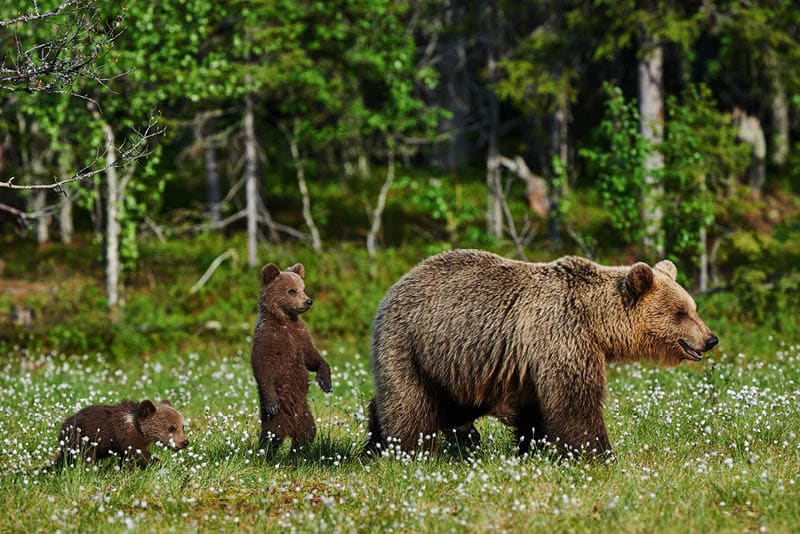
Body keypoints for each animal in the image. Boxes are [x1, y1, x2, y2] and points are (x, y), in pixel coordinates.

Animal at [54, 399, 188, 468]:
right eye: (171, 428)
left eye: (182, 426)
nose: (185, 442)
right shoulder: (125, 437)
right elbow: (138, 454)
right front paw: (158, 463)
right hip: (80, 440)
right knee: (84, 457)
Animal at [251, 262, 332, 452]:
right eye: (291, 291)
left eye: (303, 288)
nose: (308, 301)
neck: (285, 320)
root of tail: (290, 427)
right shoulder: (268, 340)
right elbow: (262, 366)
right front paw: (272, 402)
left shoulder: (300, 337)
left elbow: (312, 357)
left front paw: (325, 381)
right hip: (276, 417)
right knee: (272, 435)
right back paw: (265, 452)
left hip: (304, 412)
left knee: (307, 433)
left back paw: (297, 452)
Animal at [366, 249, 718, 457]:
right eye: (680, 313)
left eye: (693, 308)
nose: (710, 339)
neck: (596, 321)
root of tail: (395, 285)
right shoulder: (562, 334)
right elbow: (575, 400)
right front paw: (599, 454)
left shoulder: (528, 360)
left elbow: (534, 408)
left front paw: (533, 448)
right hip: (411, 345)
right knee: (410, 404)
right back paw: (405, 450)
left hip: (455, 366)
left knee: (446, 406)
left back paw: (374, 440)